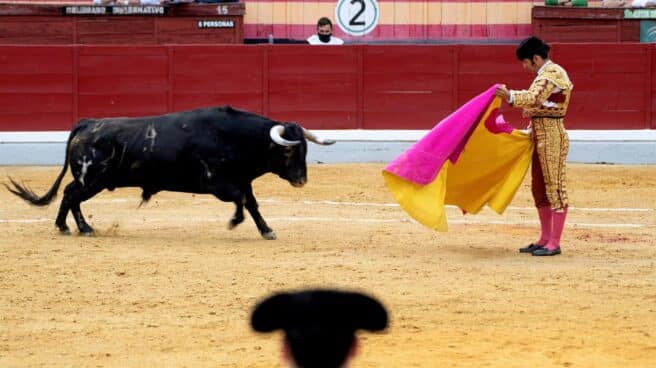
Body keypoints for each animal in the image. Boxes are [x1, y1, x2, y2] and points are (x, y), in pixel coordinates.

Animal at [9, 106, 338, 239]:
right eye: (289, 151)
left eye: (305, 150)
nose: (301, 180)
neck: (235, 138)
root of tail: (87, 123)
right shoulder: (218, 184)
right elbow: (241, 202)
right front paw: (234, 222)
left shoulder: (243, 181)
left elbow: (253, 205)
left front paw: (267, 230)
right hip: (92, 178)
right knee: (72, 195)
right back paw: (83, 228)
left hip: (92, 179)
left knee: (68, 194)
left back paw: (67, 227)